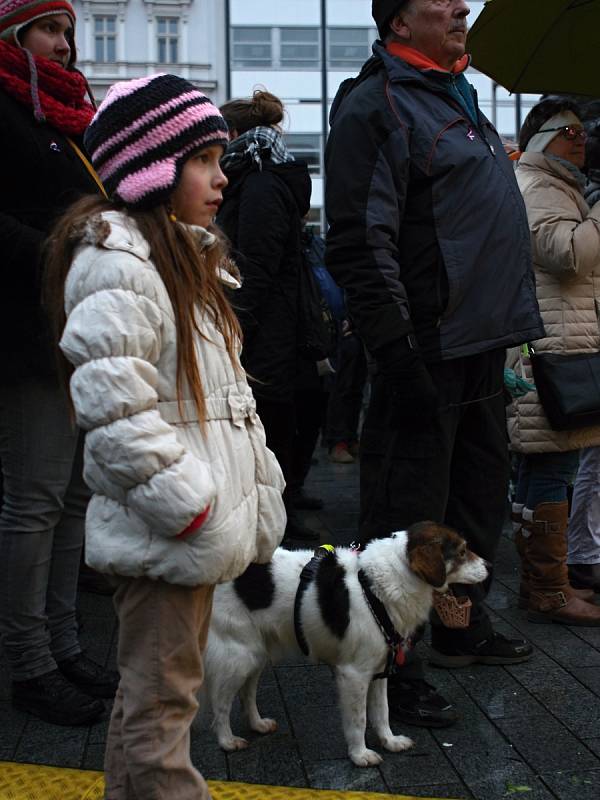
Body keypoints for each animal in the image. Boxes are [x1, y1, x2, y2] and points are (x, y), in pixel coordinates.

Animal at [203, 520, 488, 764]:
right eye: (462, 551)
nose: (490, 566)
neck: (379, 587)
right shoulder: (354, 674)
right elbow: (358, 719)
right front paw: (360, 754)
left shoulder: (381, 669)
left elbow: (381, 712)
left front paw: (389, 741)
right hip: (237, 656)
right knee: (219, 703)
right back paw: (227, 740)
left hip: (256, 652)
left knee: (246, 693)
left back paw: (258, 724)